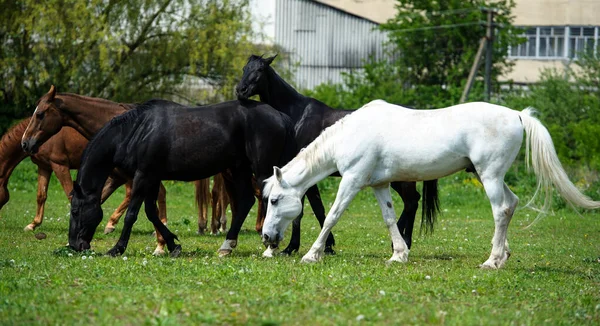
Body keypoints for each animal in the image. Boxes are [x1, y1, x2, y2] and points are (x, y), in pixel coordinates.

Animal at [0, 117, 134, 229]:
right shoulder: (44, 167)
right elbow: (41, 196)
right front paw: (33, 224)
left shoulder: (60, 165)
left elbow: (71, 196)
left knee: (129, 193)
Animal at [69, 98, 296, 256]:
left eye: (75, 210)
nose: (74, 245)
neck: (137, 131)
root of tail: (280, 116)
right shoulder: (152, 178)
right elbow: (151, 212)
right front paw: (172, 245)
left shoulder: (143, 177)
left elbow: (132, 214)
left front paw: (117, 248)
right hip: (239, 169)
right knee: (247, 201)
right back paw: (227, 246)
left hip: (261, 169)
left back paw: (271, 246)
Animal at [236, 54, 440, 255]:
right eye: (245, 68)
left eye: (260, 69)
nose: (240, 90)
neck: (297, 116)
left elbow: (313, 209)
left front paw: (309, 246)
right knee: (412, 201)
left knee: (412, 202)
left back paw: (403, 242)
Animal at [262, 100, 600, 268]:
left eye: (275, 200)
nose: (267, 238)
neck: (351, 134)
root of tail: (517, 115)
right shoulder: (379, 185)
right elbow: (389, 219)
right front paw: (398, 255)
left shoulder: (353, 181)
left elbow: (332, 216)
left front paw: (311, 254)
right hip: (493, 176)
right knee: (512, 204)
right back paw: (503, 256)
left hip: (489, 175)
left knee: (502, 210)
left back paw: (491, 261)